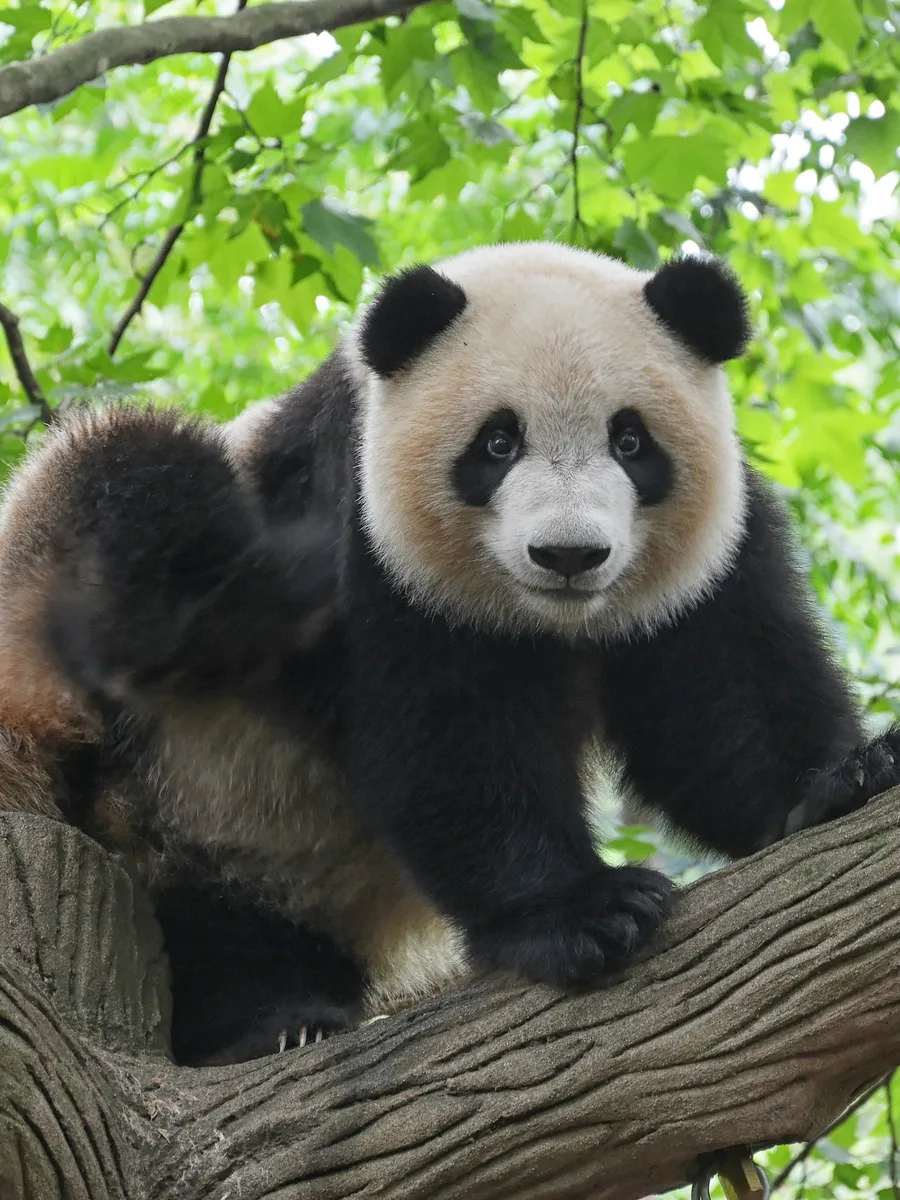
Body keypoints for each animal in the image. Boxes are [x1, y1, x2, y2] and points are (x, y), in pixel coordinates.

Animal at [0, 241, 897, 1067]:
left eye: (631, 441)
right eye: (497, 444)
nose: (568, 555)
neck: (551, 621)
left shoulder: (706, 557)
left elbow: (721, 699)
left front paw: (845, 779)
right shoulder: (372, 538)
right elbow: (448, 740)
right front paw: (585, 912)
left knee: (228, 926)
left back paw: (279, 1009)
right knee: (132, 472)